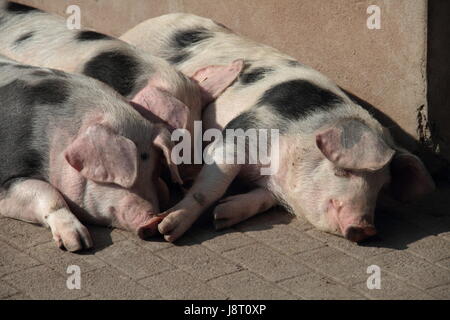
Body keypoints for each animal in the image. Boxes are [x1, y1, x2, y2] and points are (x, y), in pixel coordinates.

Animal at [0, 54, 185, 250]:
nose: (152, 221)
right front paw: (79, 243)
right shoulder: (8, 172)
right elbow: (46, 191)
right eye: (122, 178)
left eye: (154, 171)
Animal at [120, 13, 436, 242]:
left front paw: (222, 216)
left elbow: (262, 200)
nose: (367, 230)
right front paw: (164, 231)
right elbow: (209, 187)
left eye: (381, 186)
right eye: (343, 170)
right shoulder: (238, 134)